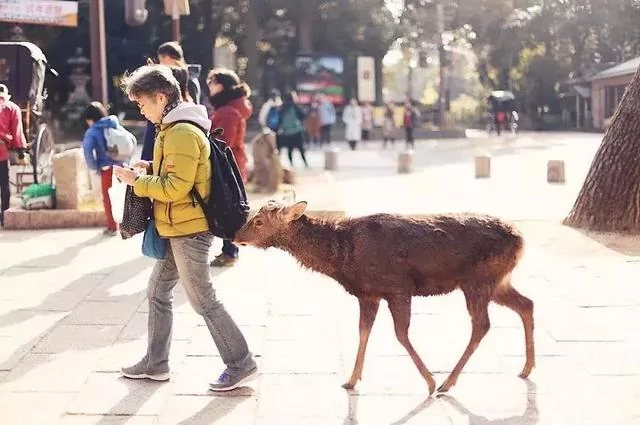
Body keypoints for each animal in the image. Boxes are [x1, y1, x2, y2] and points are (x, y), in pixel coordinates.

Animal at [233, 200, 535, 395]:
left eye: (258, 221)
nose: (235, 236)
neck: (344, 259)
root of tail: (522, 240)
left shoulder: (398, 286)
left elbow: (400, 334)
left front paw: (429, 381)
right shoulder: (369, 294)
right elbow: (363, 331)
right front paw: (351, 380)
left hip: (478, 281)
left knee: (482, 325)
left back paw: (447, 382)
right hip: (497, 281)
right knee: (526, 304)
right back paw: (526, 368)